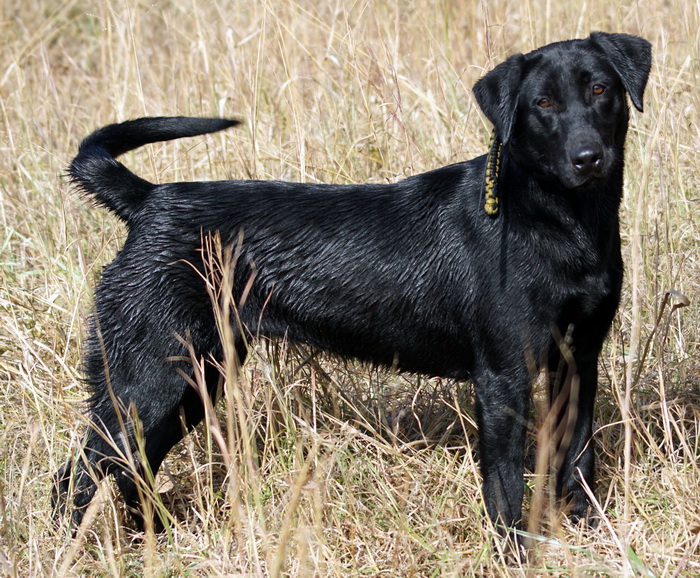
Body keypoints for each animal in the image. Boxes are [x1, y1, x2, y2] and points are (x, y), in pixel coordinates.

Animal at [54, 31, 652, 536]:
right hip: (152, 378)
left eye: (600, 89)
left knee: (130, 468)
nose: (588, 157)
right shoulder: (503, 376)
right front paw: (512, 552)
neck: (560, 220)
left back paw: (148, 537)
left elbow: (578, 458)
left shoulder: (578, 359)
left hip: (195, 379)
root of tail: (148, 201)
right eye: (542, 105)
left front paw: (588, 533)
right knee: (80, 473)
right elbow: (504, 486)